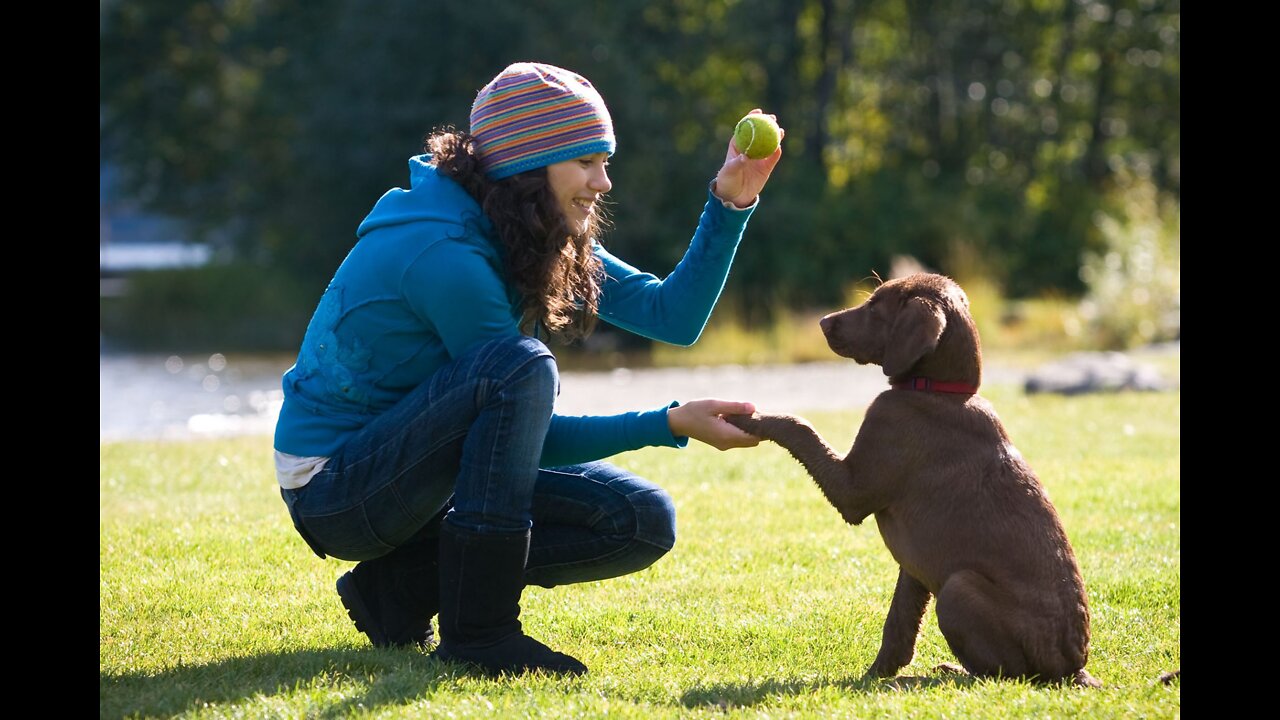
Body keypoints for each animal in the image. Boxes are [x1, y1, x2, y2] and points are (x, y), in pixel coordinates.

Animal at [732, 270, 1100, 681]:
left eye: (875, 306)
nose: (823, 322)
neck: (940, 391)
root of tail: (1072, 669)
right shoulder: (915, 566)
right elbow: (900, 622)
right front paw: (879, 674)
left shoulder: (853, 490)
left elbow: (800, 427)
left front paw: (748, 417)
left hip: (958, 588)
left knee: (1005, 674)